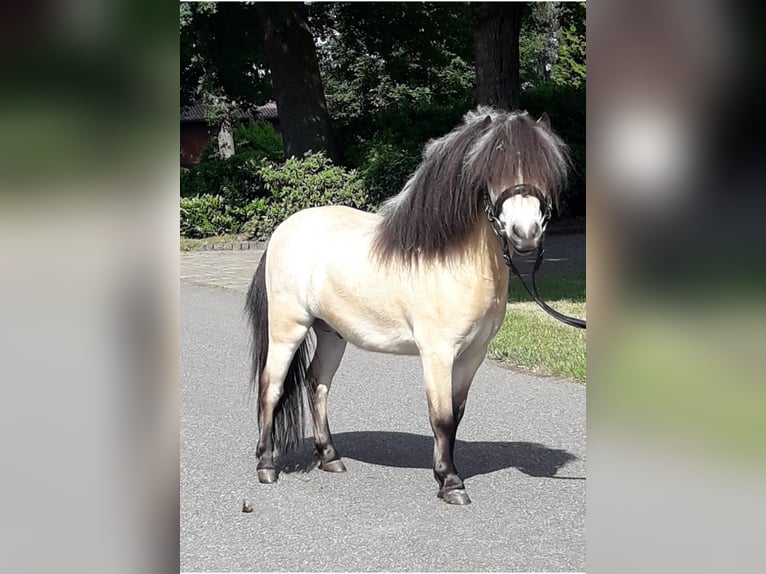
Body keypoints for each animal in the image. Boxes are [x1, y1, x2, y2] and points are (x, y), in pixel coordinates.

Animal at [246, 106, 568, 506]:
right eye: (490, 170)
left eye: (545, 169)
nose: (525, 236)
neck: (451, 260)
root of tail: (282, 231)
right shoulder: (437, 353)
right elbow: (440, 416)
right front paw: (451, 483)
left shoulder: (473, 354)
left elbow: (455, 415)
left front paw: (444, 473)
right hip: (287, 330)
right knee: (271, 389)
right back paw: (266, 466)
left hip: (332, 334)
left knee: (317, 384)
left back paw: (330, 457)